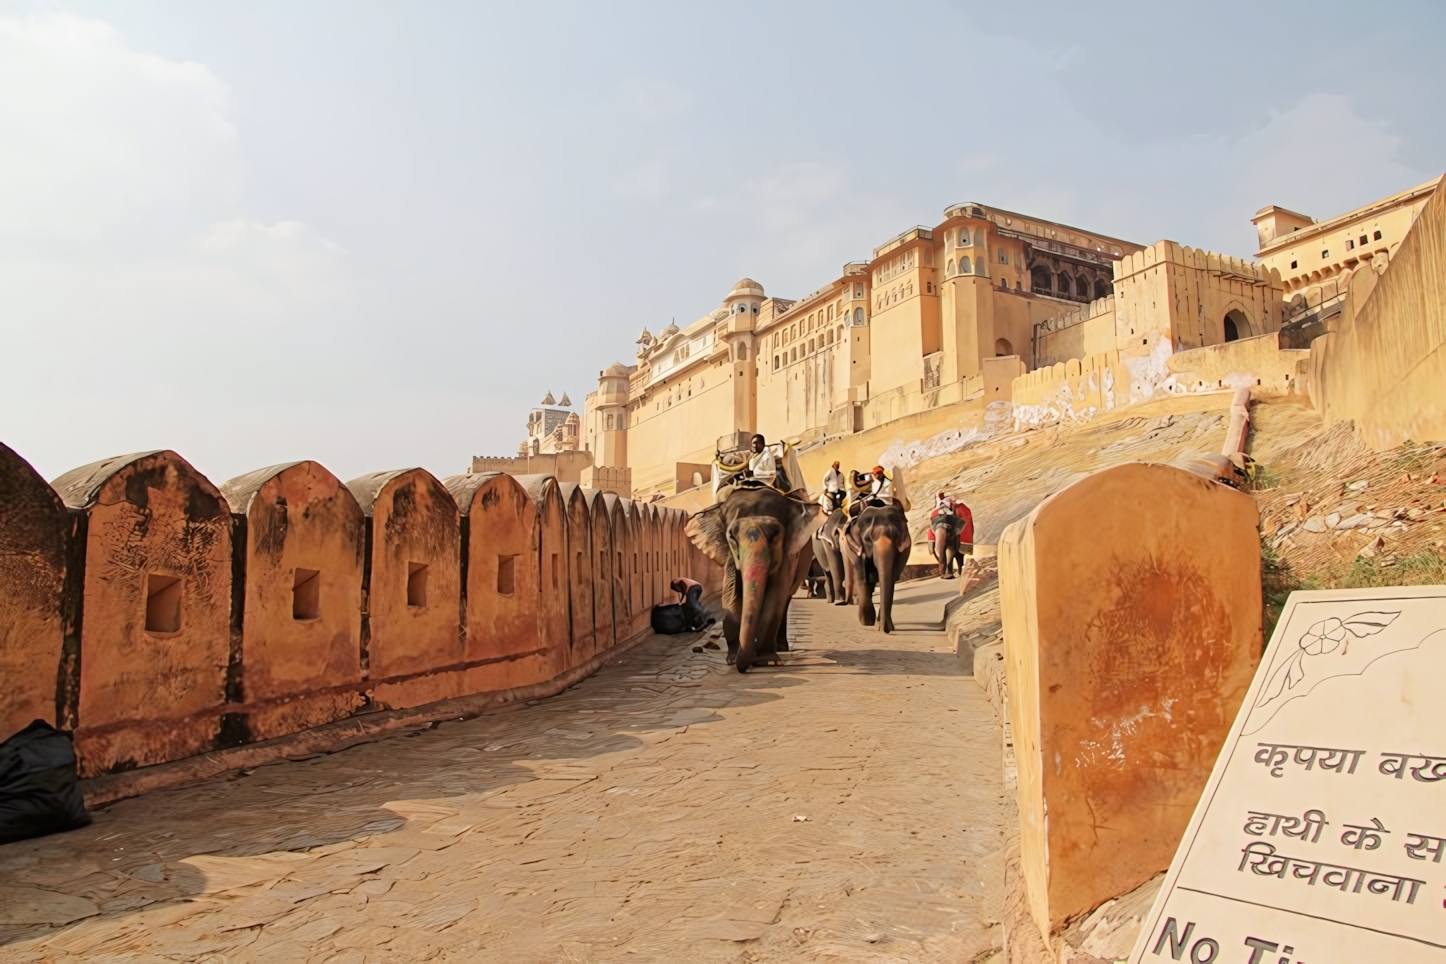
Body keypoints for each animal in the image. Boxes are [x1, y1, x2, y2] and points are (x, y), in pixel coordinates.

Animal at [682, 485, 821, 676]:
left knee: (785, 601)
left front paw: (767, 661)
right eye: (731, 537)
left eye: (776, 536)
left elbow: (776, 595)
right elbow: (732, 594)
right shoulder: (730, 555)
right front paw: (733, 659)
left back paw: (780, 648)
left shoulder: (790, 553)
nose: (747, 663)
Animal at [844, 505, 908, 633]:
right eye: (868, 540)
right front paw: (867, 622)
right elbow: (863, 578)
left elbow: (891, 579)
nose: (885, 630)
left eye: (895, 536)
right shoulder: (857, 549)